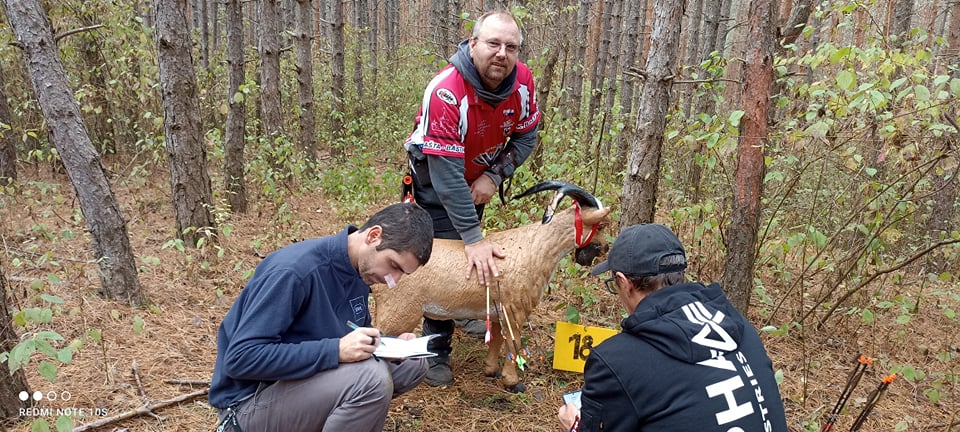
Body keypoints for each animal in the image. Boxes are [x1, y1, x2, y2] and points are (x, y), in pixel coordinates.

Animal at [371, 181, 612, 392]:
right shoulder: (515, 309)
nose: (605, 248)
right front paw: (512, 382)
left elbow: (496, 339)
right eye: (600, 225)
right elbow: (514, 343)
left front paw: (490, 370)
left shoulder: (497, 310)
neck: (535, 249)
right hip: (398, 313)